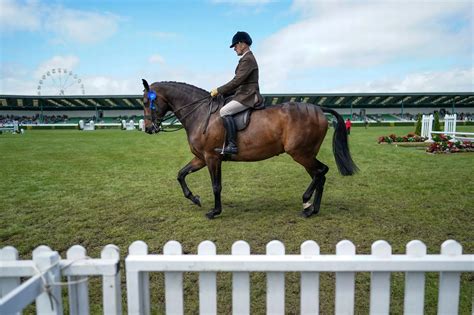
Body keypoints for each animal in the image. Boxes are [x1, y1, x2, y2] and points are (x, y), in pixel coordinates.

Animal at [143, 79, 358, 220]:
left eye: (146, 102)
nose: (148, 128)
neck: (201, 113)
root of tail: (319, 109)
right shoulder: (201, 158)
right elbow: (181, 174)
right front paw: (195, 199)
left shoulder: (212, 157)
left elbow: (216, 186)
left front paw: (215, 211)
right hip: (306, 154)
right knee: (319, 175)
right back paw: (312, 209)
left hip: (301, 153)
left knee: (321, 171)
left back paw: (307, 203)